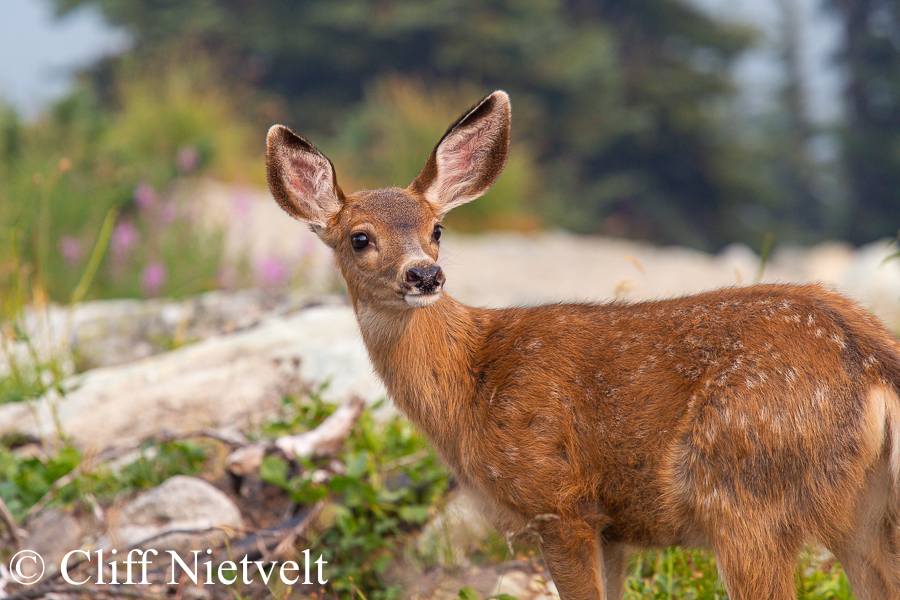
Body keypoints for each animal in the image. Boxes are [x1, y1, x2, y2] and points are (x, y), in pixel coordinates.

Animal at [265, 91, 900, 600]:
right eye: (359, 238)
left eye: (436, 229)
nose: (425, 274)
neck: (471, 384)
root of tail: (872, 361)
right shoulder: (611, 526)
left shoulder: (557, 499)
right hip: (862, 513)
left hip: (747, 490)